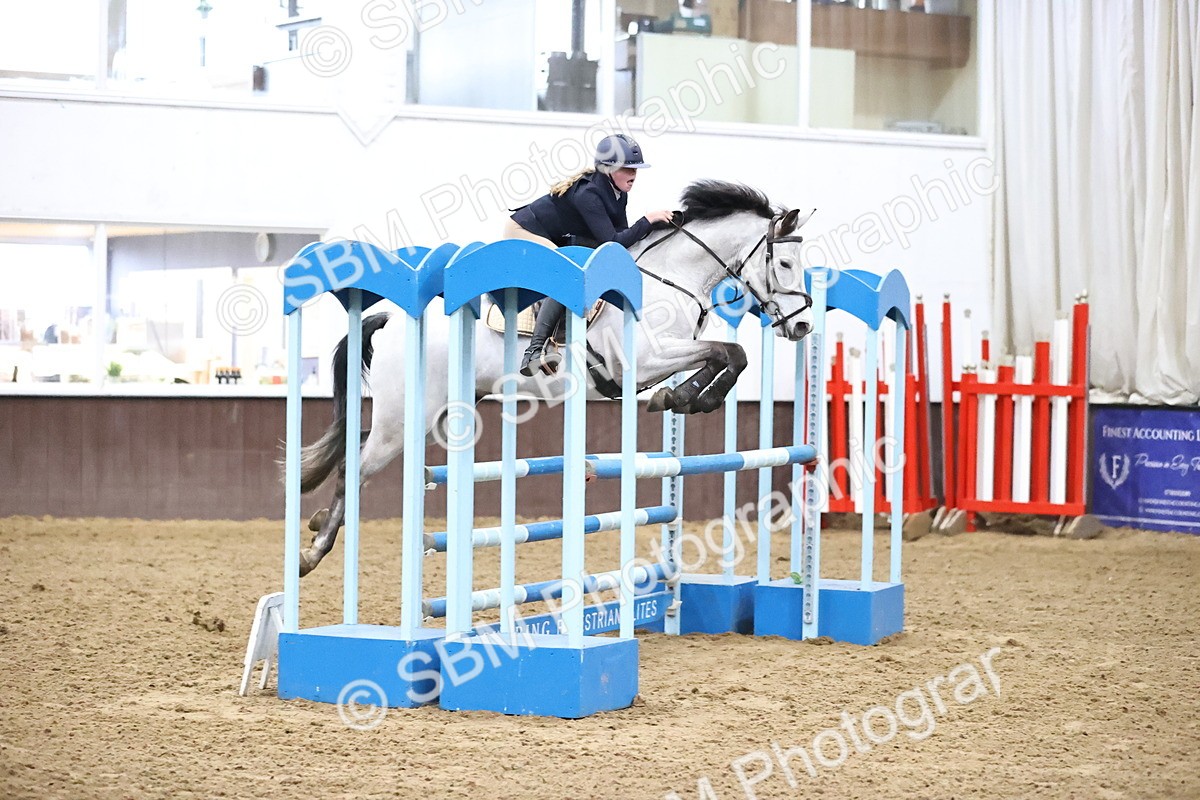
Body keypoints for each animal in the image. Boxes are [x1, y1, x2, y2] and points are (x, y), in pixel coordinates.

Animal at [294, 180, 816, 576]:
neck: (670, 276)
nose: (803, 326)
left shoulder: (661, 358)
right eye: (785, 264)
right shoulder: (643, 360)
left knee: (356, 450)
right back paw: (312, 554)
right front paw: (685, 398)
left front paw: (682, 398)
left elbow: (726, 356)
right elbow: (729, 351)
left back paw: (317, 523)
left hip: (422, 413)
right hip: (405, 417)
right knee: (355, 467)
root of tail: (391, 318)